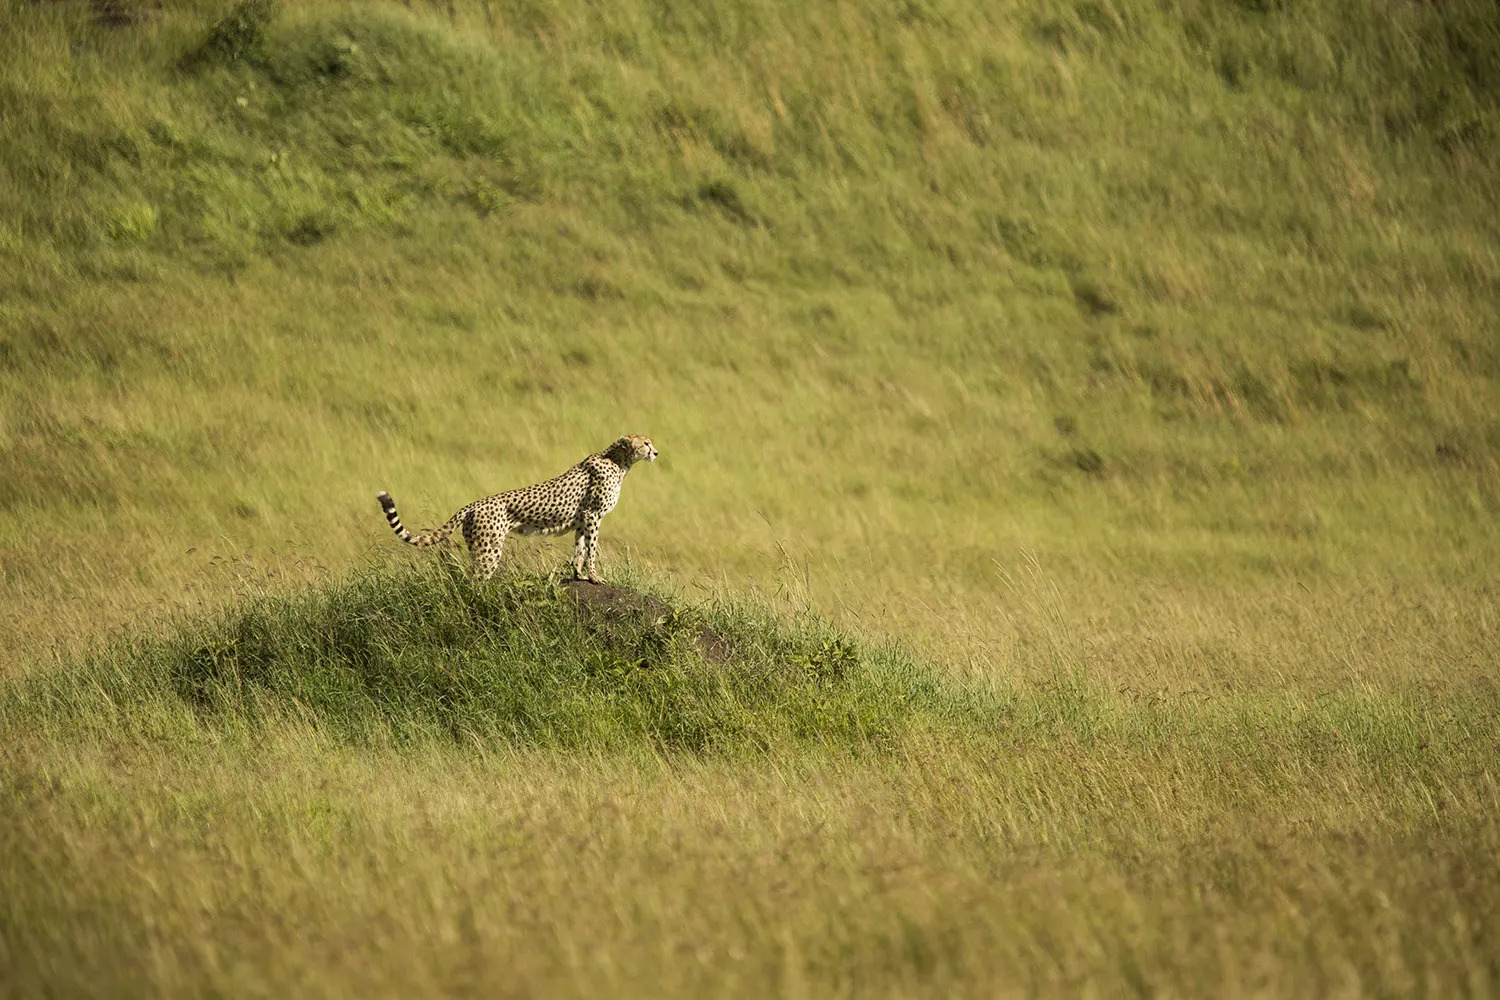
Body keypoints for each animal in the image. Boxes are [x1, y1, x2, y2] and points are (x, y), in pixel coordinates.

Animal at [375, 431, 657, 587]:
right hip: (489, 549)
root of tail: (474, 504)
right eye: (645, 443)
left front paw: (579, 576)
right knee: (473, 581)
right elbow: (592, 549)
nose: (655, 452)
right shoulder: (593, 515)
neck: (619, 461)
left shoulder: (583, 519)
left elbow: (579, 549)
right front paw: (595, 577)